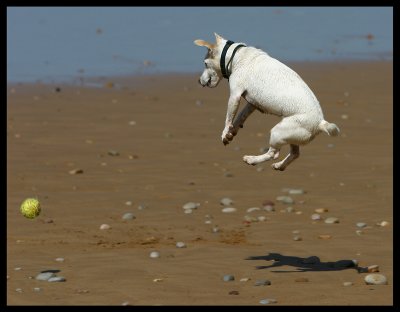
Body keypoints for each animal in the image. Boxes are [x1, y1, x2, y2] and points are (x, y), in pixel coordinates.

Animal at [195, 32, 340, 171]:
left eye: (205, 63)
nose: (198, 81)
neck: (236, 56)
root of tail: (320, 123)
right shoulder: (252, 104)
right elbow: (241, 116)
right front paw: (232, 133)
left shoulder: (235, 95)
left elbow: (229, 117)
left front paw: (225, 133)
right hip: (291, 136)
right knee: (295, 153)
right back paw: (279, 166)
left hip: (277, 132)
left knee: (273, 154)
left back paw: (252, 160)